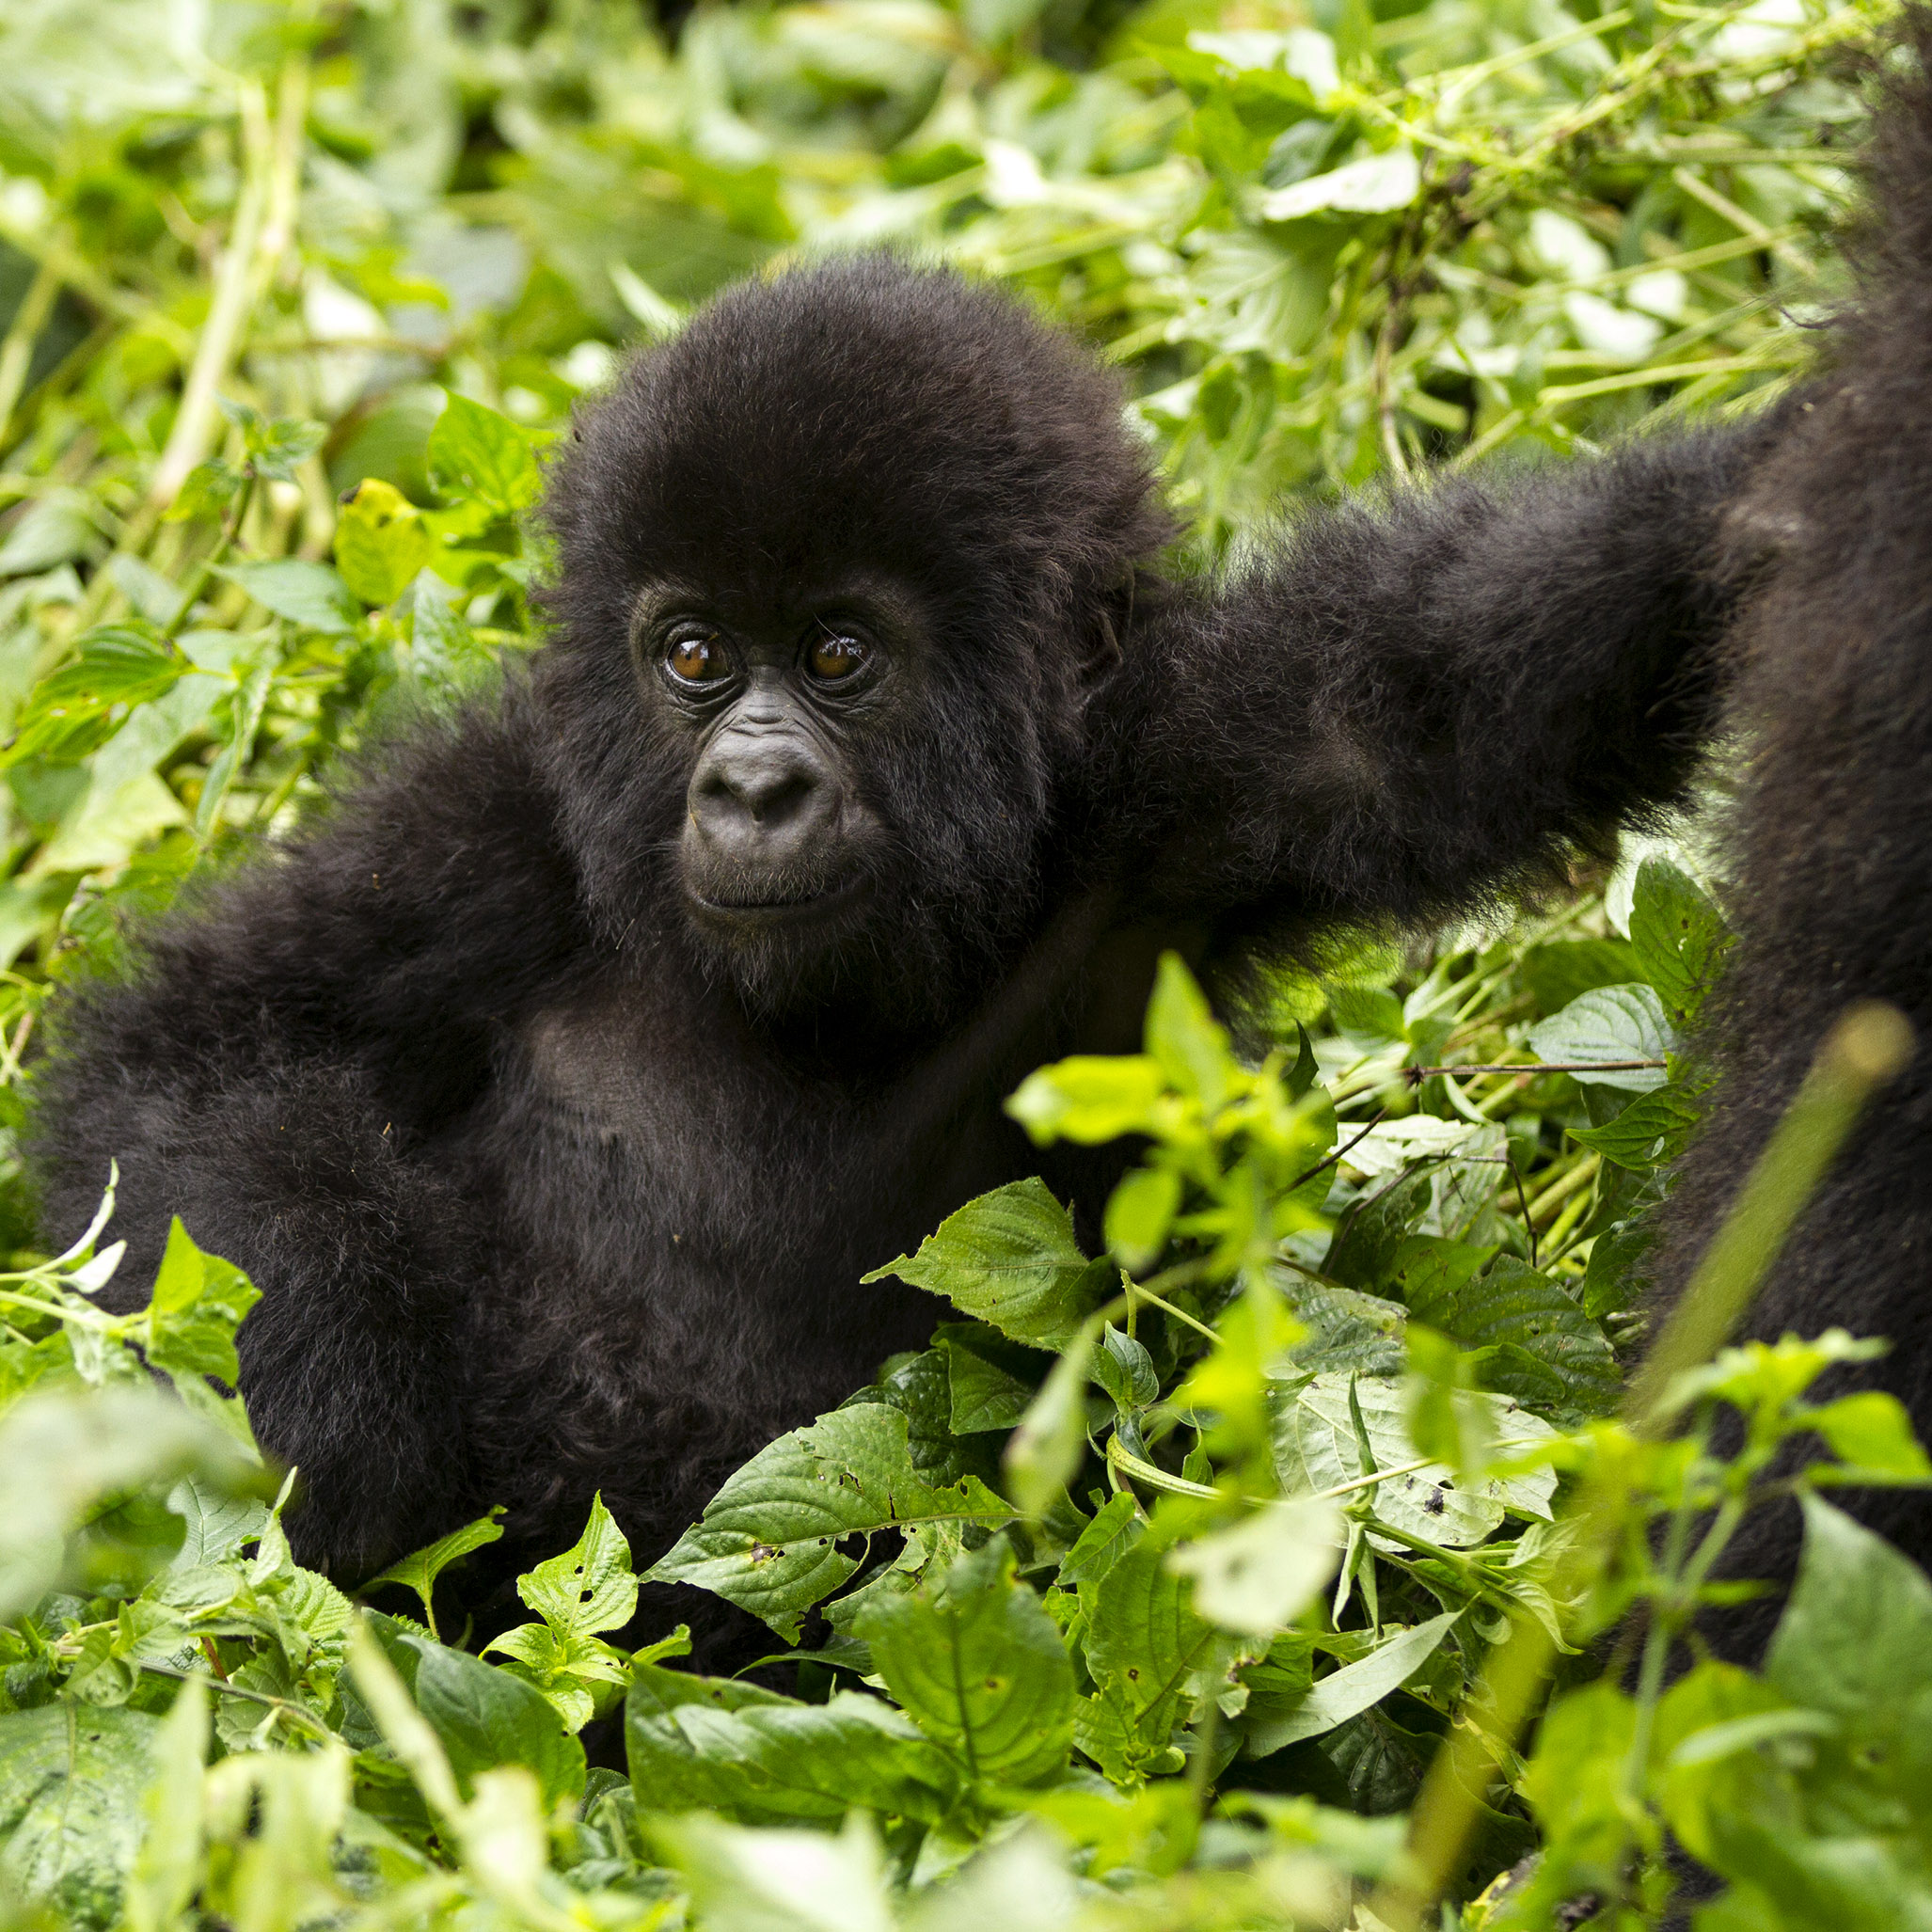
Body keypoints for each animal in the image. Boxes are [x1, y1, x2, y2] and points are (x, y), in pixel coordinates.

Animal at [34, 257, 1777, 1646]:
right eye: (691, 653)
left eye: (836, 654)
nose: (750, 788)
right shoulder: (492, 822)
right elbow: (199, 1049)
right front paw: (341, 1400)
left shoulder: (1180, 775)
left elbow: (1434, 711)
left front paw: (1773, 484)